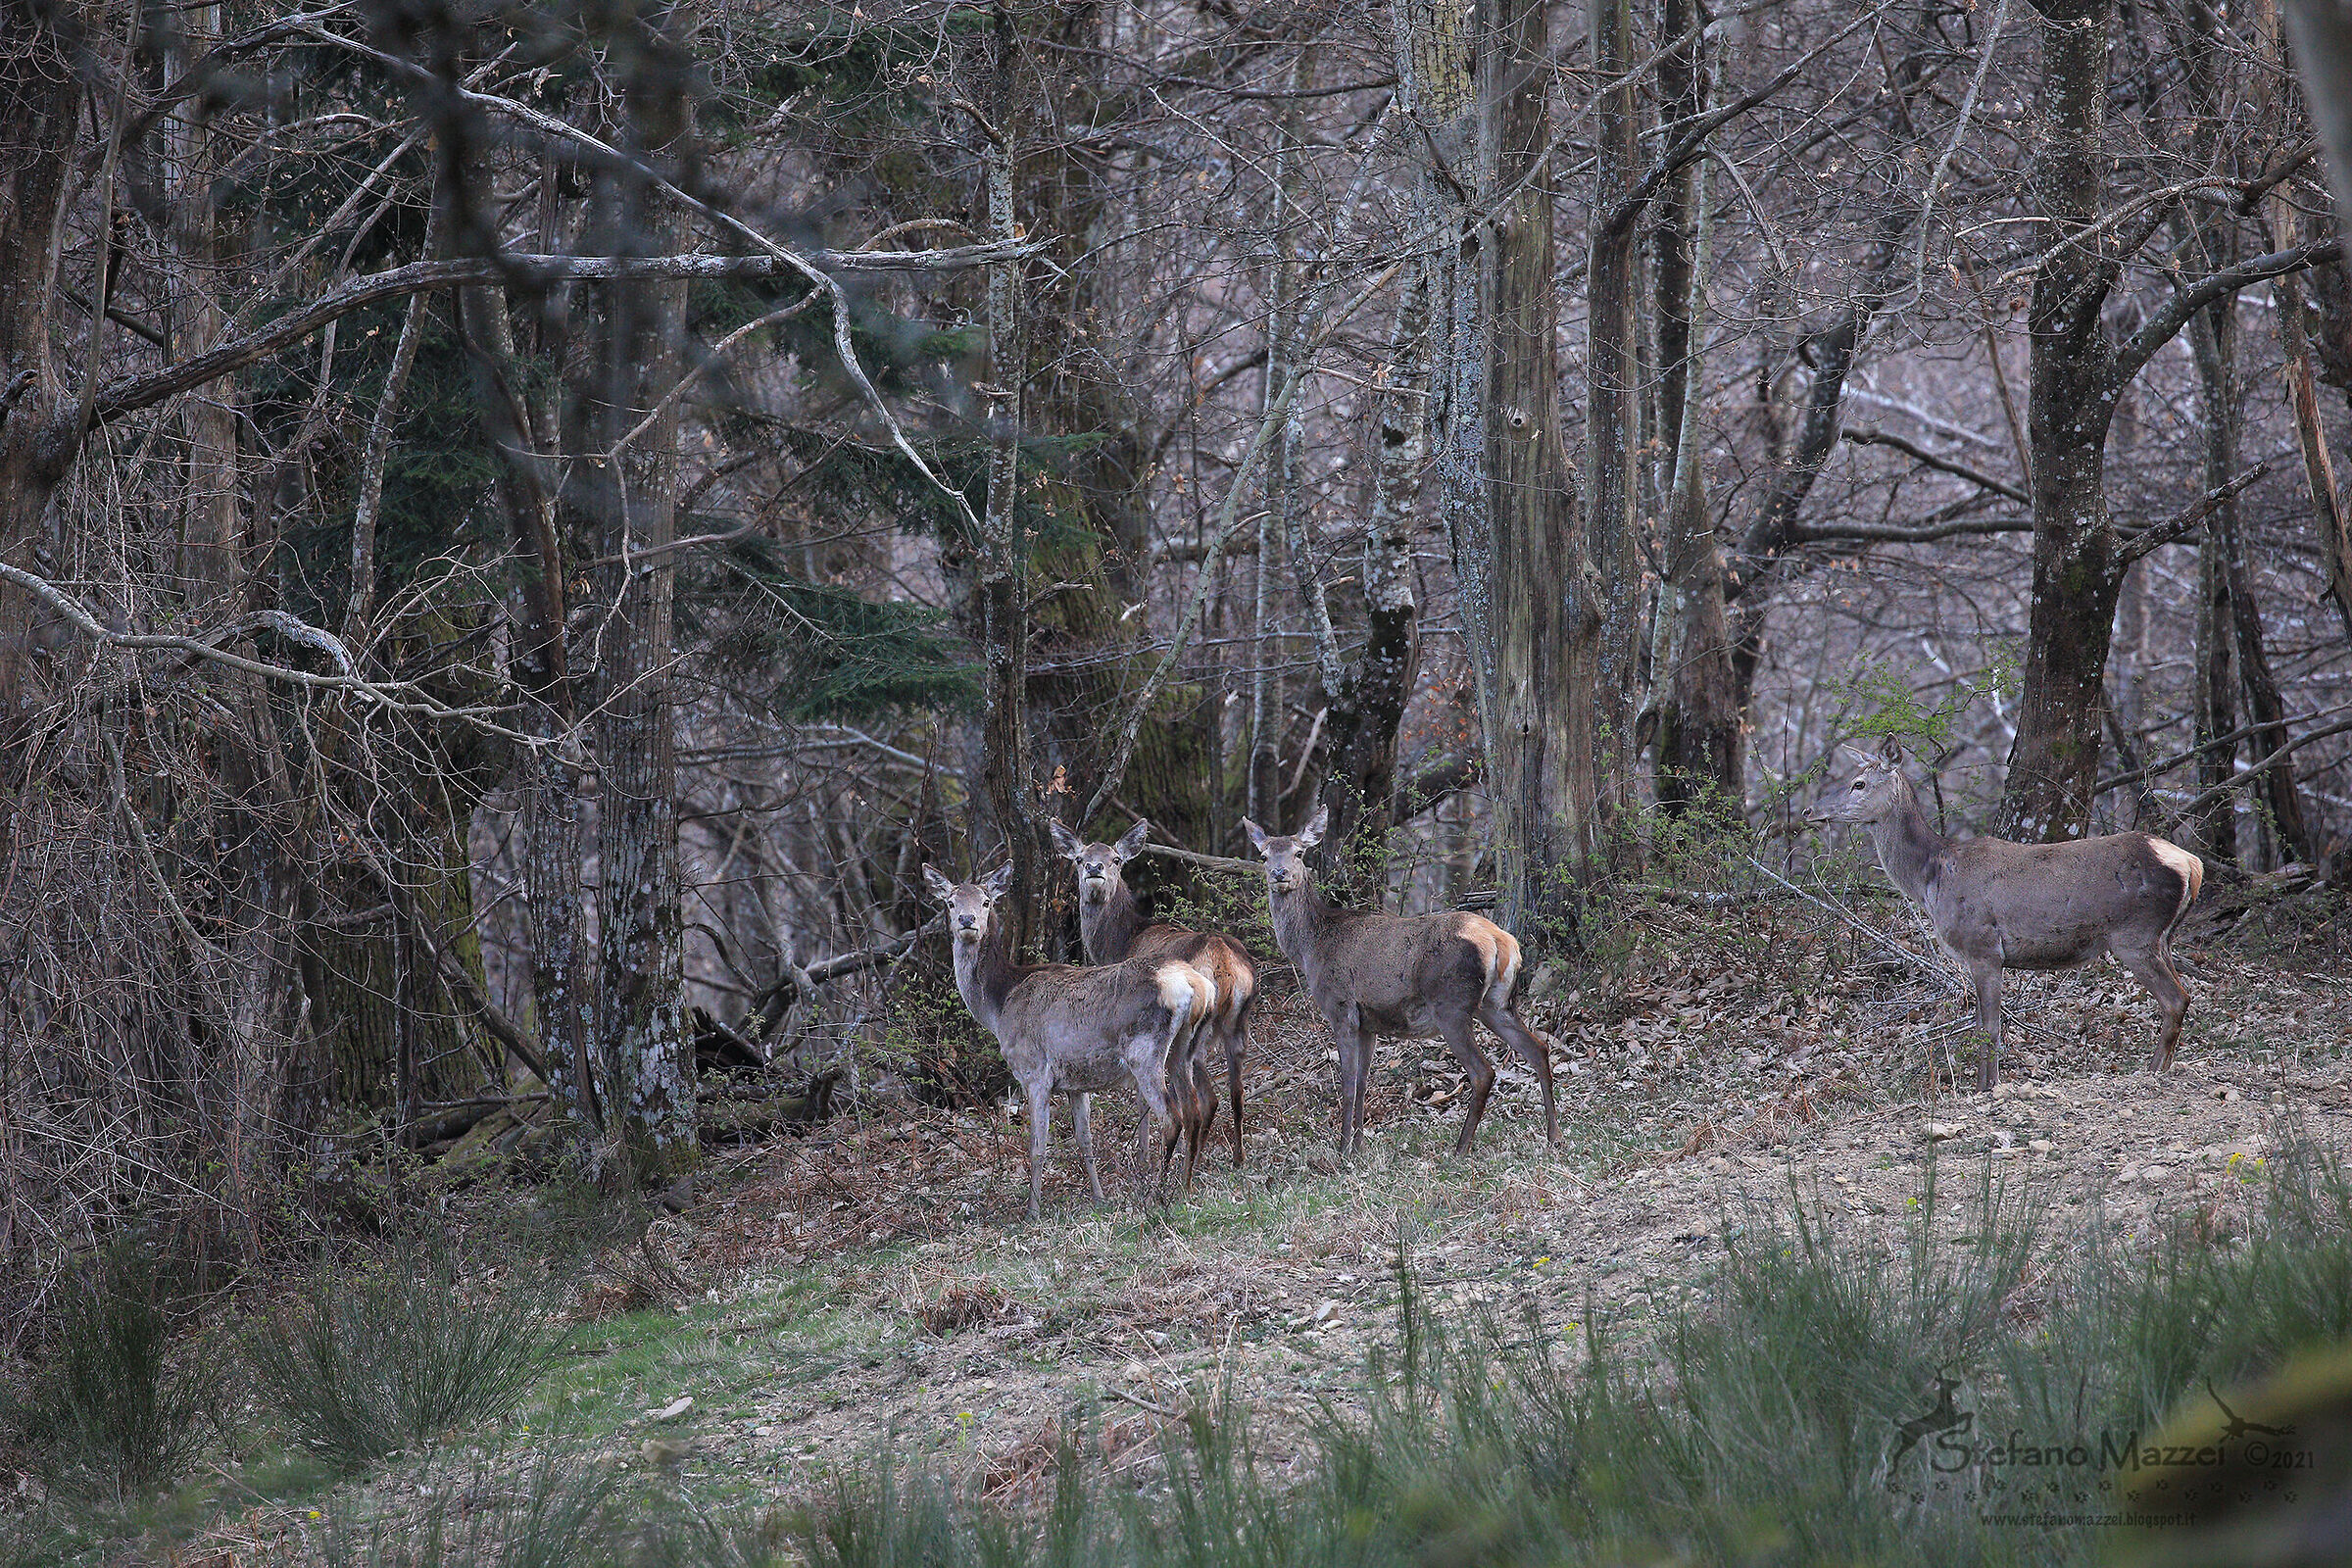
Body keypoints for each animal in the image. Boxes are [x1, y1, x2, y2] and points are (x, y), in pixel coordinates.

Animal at [922, 864, 1216, 1219]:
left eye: (986, 901)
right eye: (950, 902)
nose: (967, 920)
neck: (999, 1004)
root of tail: (1196, 984)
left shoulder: (1034, 1071)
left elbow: (1037, 1146)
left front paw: (1032, 1212)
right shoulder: (1077, 1081)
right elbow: (1084, 1140)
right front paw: (1099, 1198)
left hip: (1144, 1049)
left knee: (1172, 1116)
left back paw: (1157, 1195)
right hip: (1183, 1050)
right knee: (1194, 1110)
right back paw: (1185, 1187)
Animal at [1050, 818, 1257, 1186]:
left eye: (1116, 859)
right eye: (1079, 858)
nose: (1094, 868)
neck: (1121, 941)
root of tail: (1226, 966)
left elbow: (1141, 1100)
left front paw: (1143, 1159)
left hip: (1192, 1037)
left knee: (1202, 1100)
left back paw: (1185, 1168)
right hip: (1238, 1024)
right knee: (1234, 1093)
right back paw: (1234, 1158)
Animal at [1241, 805, 1561, 1158]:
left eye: (1299, 853)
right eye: (1263, 855)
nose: (1279, 873)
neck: (1312, 946)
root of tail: (1501, 941)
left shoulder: (1341, 1007)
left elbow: (1348, 1083)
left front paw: (1343, 1150)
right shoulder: (1368, 1022)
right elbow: (1363, 1082)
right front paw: (1359, 1146)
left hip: (1451, 1004)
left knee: (1482, 1071)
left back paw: (1461, 1148)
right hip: (1497, 1003)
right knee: (1538, 1047)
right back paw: (1554, 1135)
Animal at [1806, 740, 2204, 1092]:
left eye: (1858, 783)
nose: (1810, 811)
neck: (1931, 878)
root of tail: (2191, 863)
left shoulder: (1983, 946)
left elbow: (1989, 1027)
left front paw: (1986, 1087)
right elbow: (1983, 1024)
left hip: (2135, 935)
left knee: (2175, 999)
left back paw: (2152, 1072)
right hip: (2162, 937)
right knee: (2182, 997)